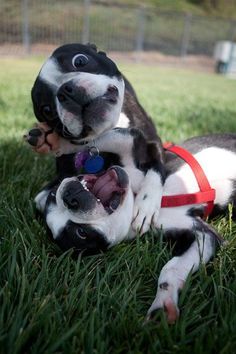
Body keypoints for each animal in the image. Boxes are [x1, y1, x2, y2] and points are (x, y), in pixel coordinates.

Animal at [35, 129, 236, 324]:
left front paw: (59, 143)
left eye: (53, 194)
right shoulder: (203, 235)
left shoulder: (141, 145)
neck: (132, 197)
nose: (70, 198)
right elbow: (172, 268)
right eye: (81, 233)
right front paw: (163, 304)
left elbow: (110, 138)